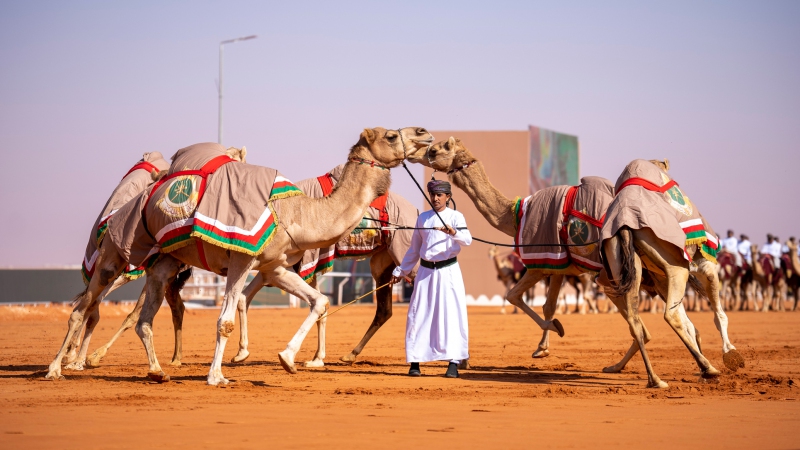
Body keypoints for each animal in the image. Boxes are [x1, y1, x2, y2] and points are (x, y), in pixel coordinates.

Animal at [406, 135, 612, 356]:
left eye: (434, 150)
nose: (411, 154)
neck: (516, 215)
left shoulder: (539, 263)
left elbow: (512, 295)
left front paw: (554, 329)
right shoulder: (557, 264)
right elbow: (549, 305)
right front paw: (542, 348)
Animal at [596, 157, 740, 386]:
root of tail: (625, 225)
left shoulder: (660, 277)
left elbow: (689, 322)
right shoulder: (703, 262)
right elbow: (718, 314)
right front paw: (731, 353)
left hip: (622, 267)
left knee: (636, 322)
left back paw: (656, 379)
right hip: (677, 268)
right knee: (670, 315)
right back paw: (708, 368)